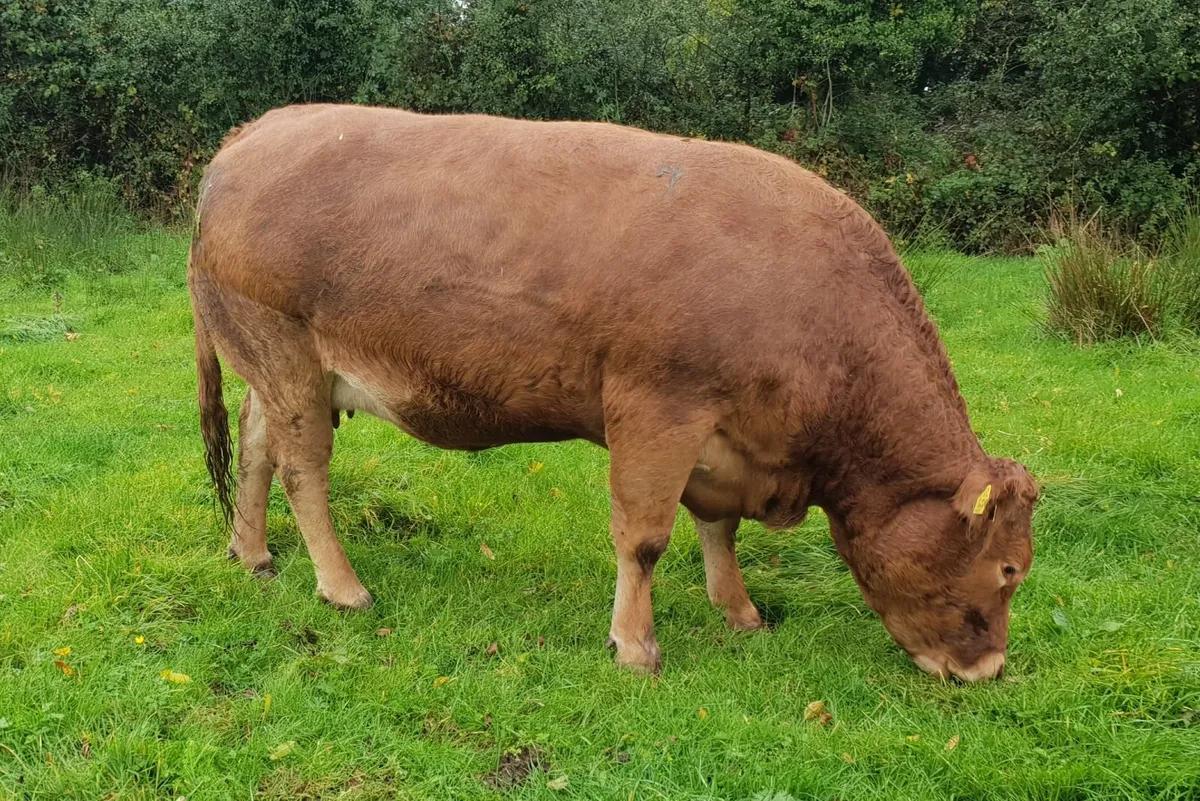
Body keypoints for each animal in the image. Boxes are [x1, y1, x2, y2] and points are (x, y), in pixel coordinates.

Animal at [189, 104, 1037, 681]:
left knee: (257, 447)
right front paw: (635, 644)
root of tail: (255, 132)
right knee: (302, 469)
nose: (989, 670)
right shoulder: (658, 407)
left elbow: (717, 528)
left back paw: (253, 553)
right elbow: (645, 535)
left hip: (271, 365)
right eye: (1008, 570)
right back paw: (342, 587)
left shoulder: (722, 436)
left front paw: (740, 611)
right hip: (287, 352)